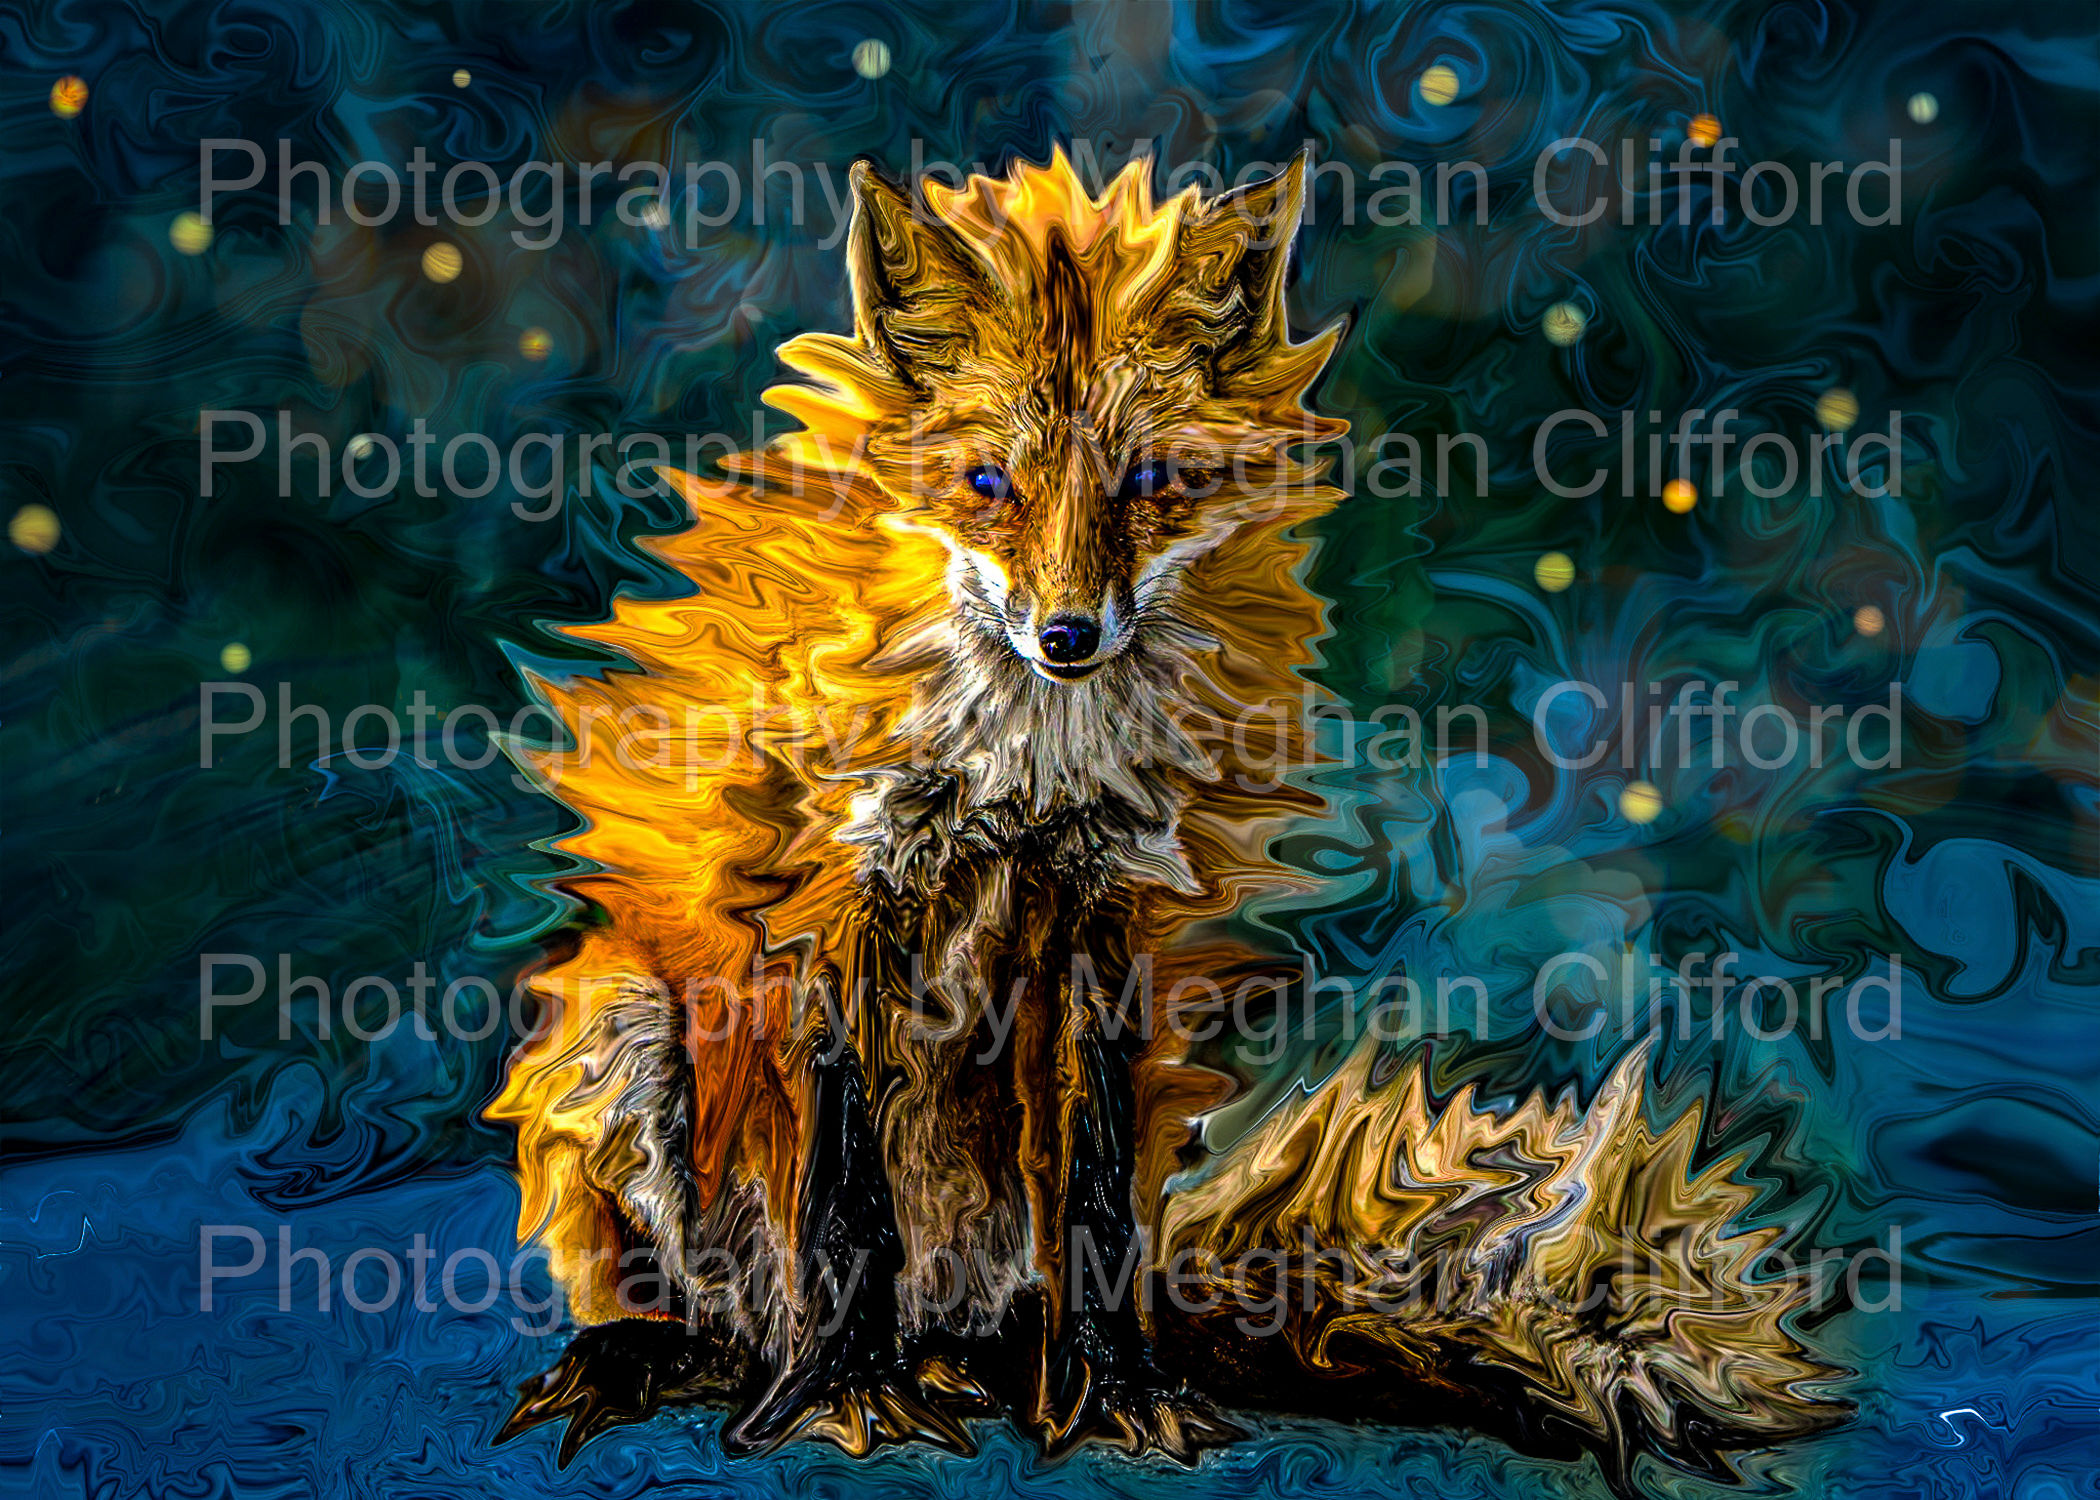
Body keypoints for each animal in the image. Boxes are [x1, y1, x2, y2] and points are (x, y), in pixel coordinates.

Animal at [487, 149, 1845, 1481]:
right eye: (989, 484)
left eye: (1147, 482)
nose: (1067, 635)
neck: (1019, 776)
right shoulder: (825, 912)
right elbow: (842, 1200)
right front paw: (842, 1397)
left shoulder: (1101, 919)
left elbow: (1089, 1197)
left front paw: (1109, 1396)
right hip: (616, 1033)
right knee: (713, 1312)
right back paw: (662, 1358)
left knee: (1017, 1300)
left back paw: (972, 1371)